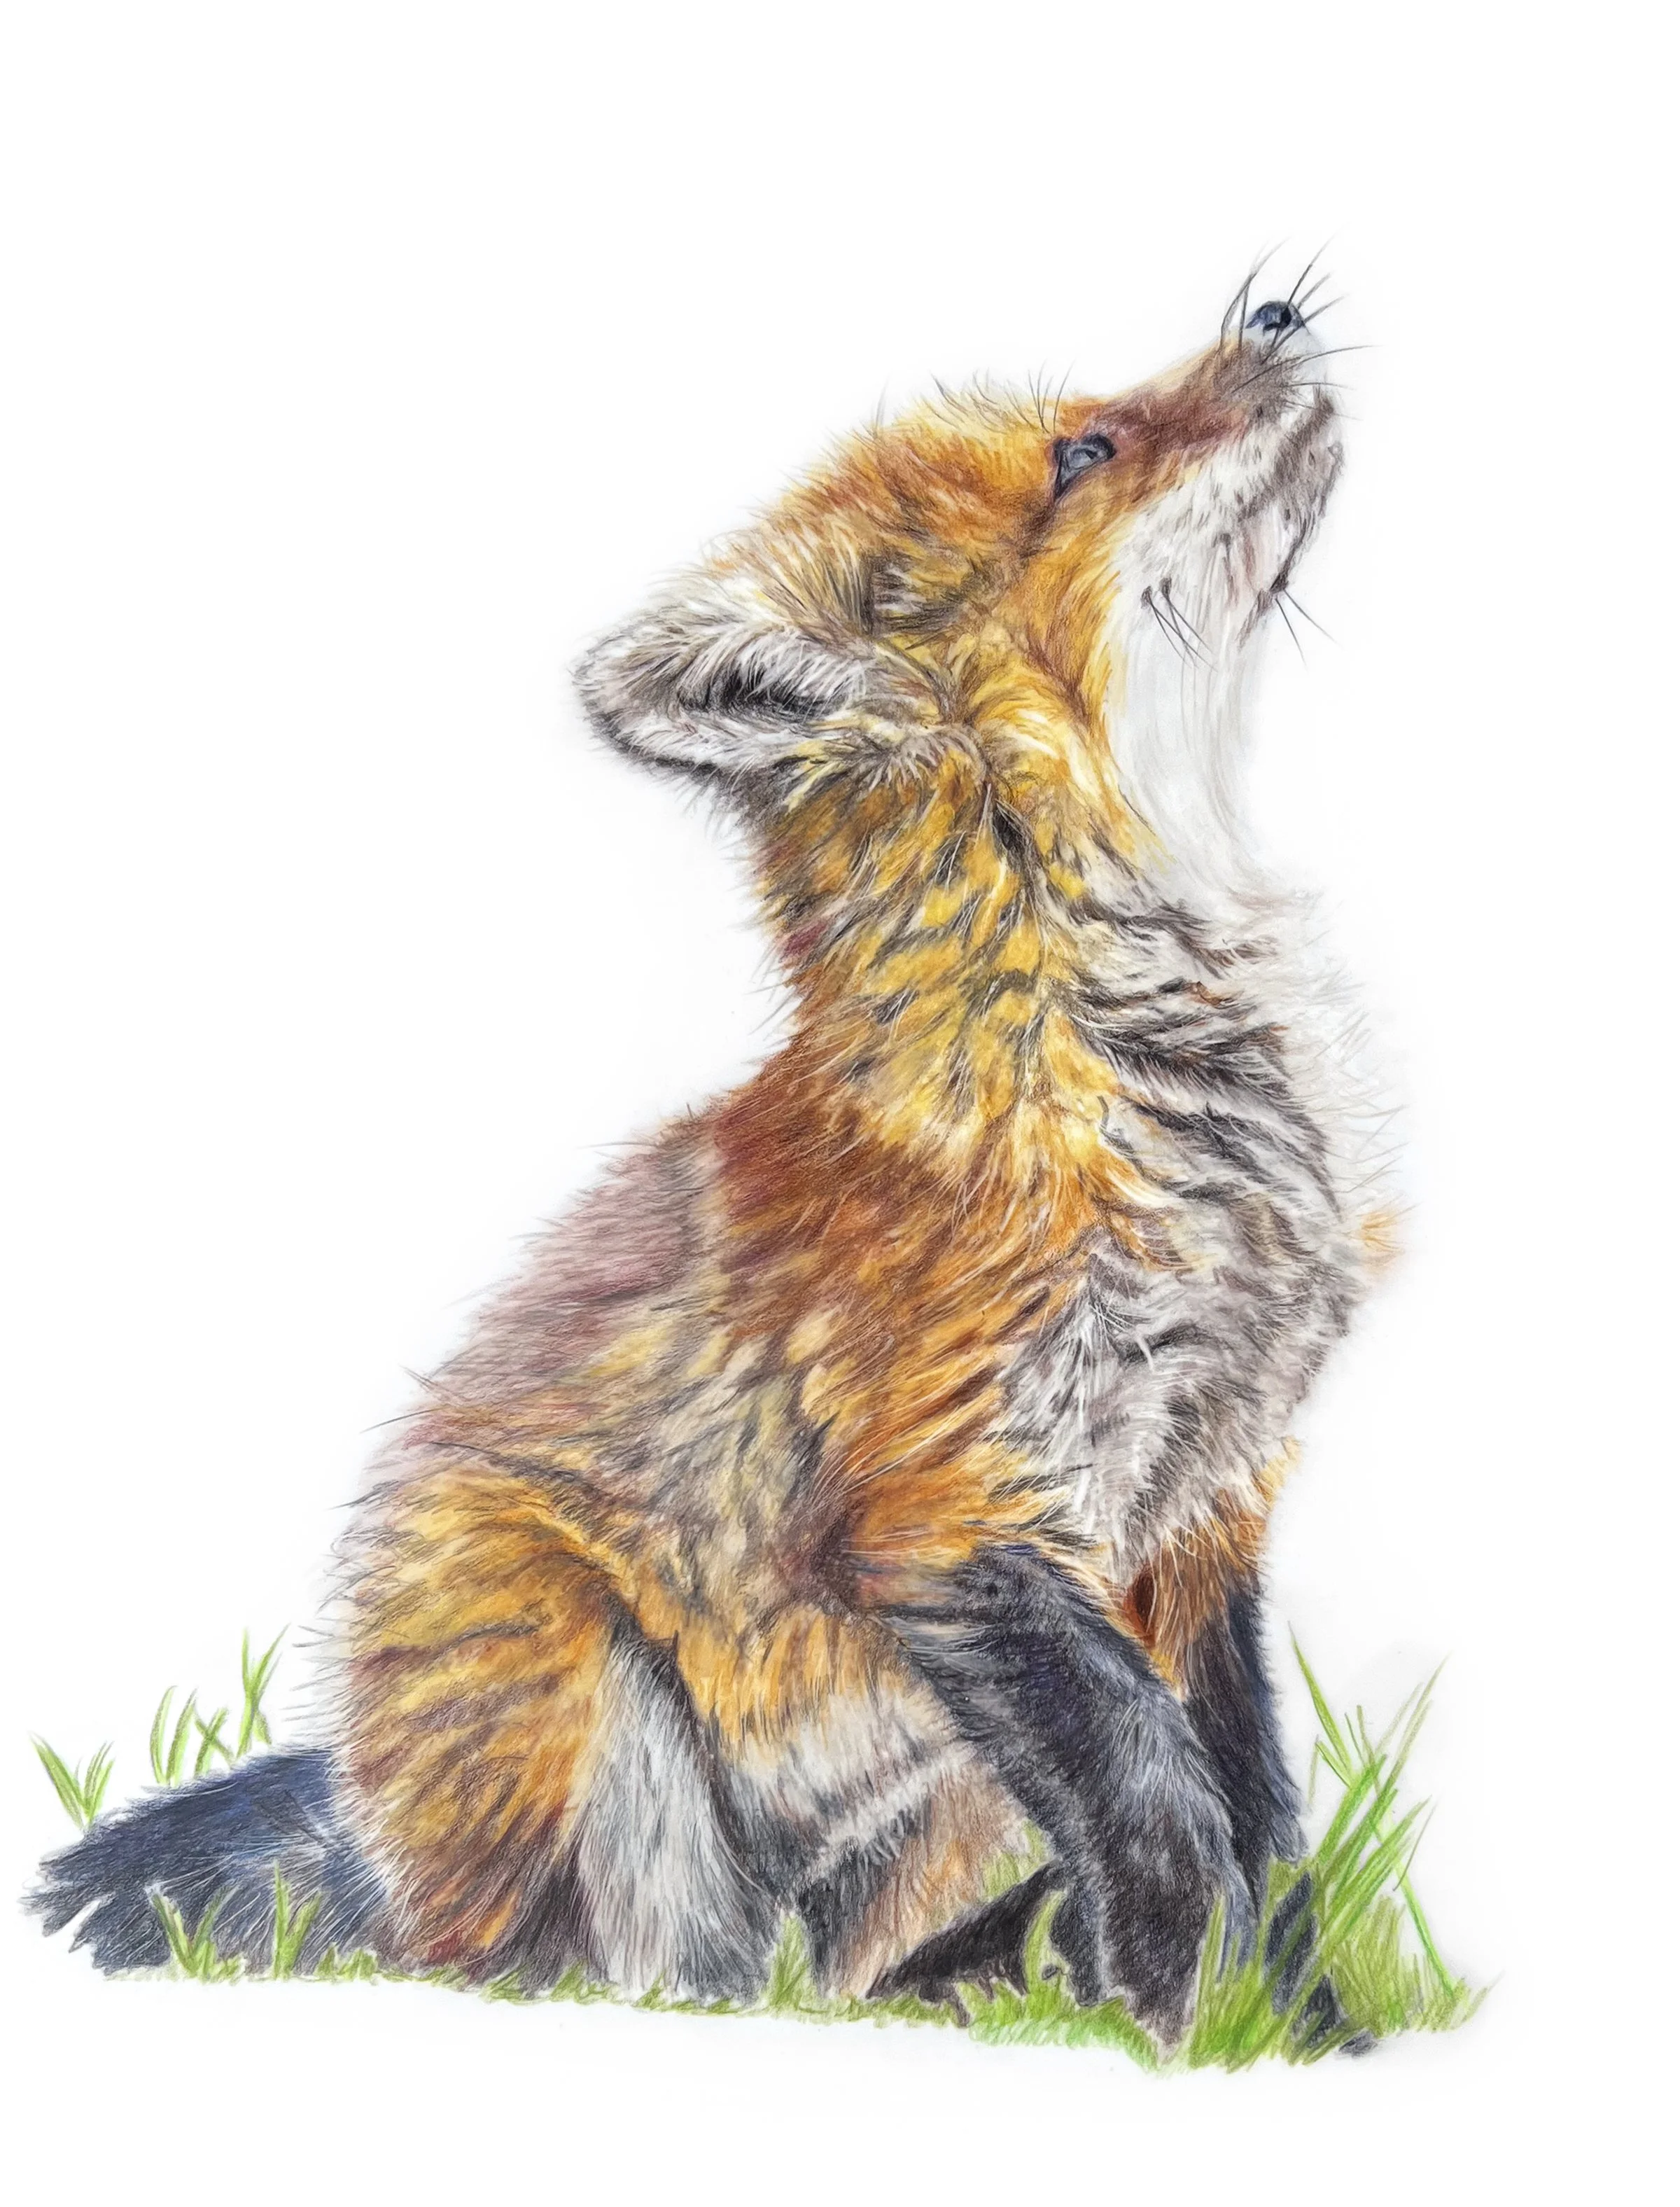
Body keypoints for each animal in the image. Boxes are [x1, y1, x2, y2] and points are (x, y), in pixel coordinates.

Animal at [30, 275, 1389, 2049]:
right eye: (1084, 450)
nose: (1279, 306)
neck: (1151, 1077)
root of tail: (379, 1859)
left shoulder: (1201, 1506)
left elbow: (1261, 1814)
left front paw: (1300, 2040)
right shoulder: (954, 1514)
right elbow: (1167, 1803)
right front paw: (1193, 2030)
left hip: (942, 1802)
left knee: (846, 1970)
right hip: (602, 1722)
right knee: (638, 1977)